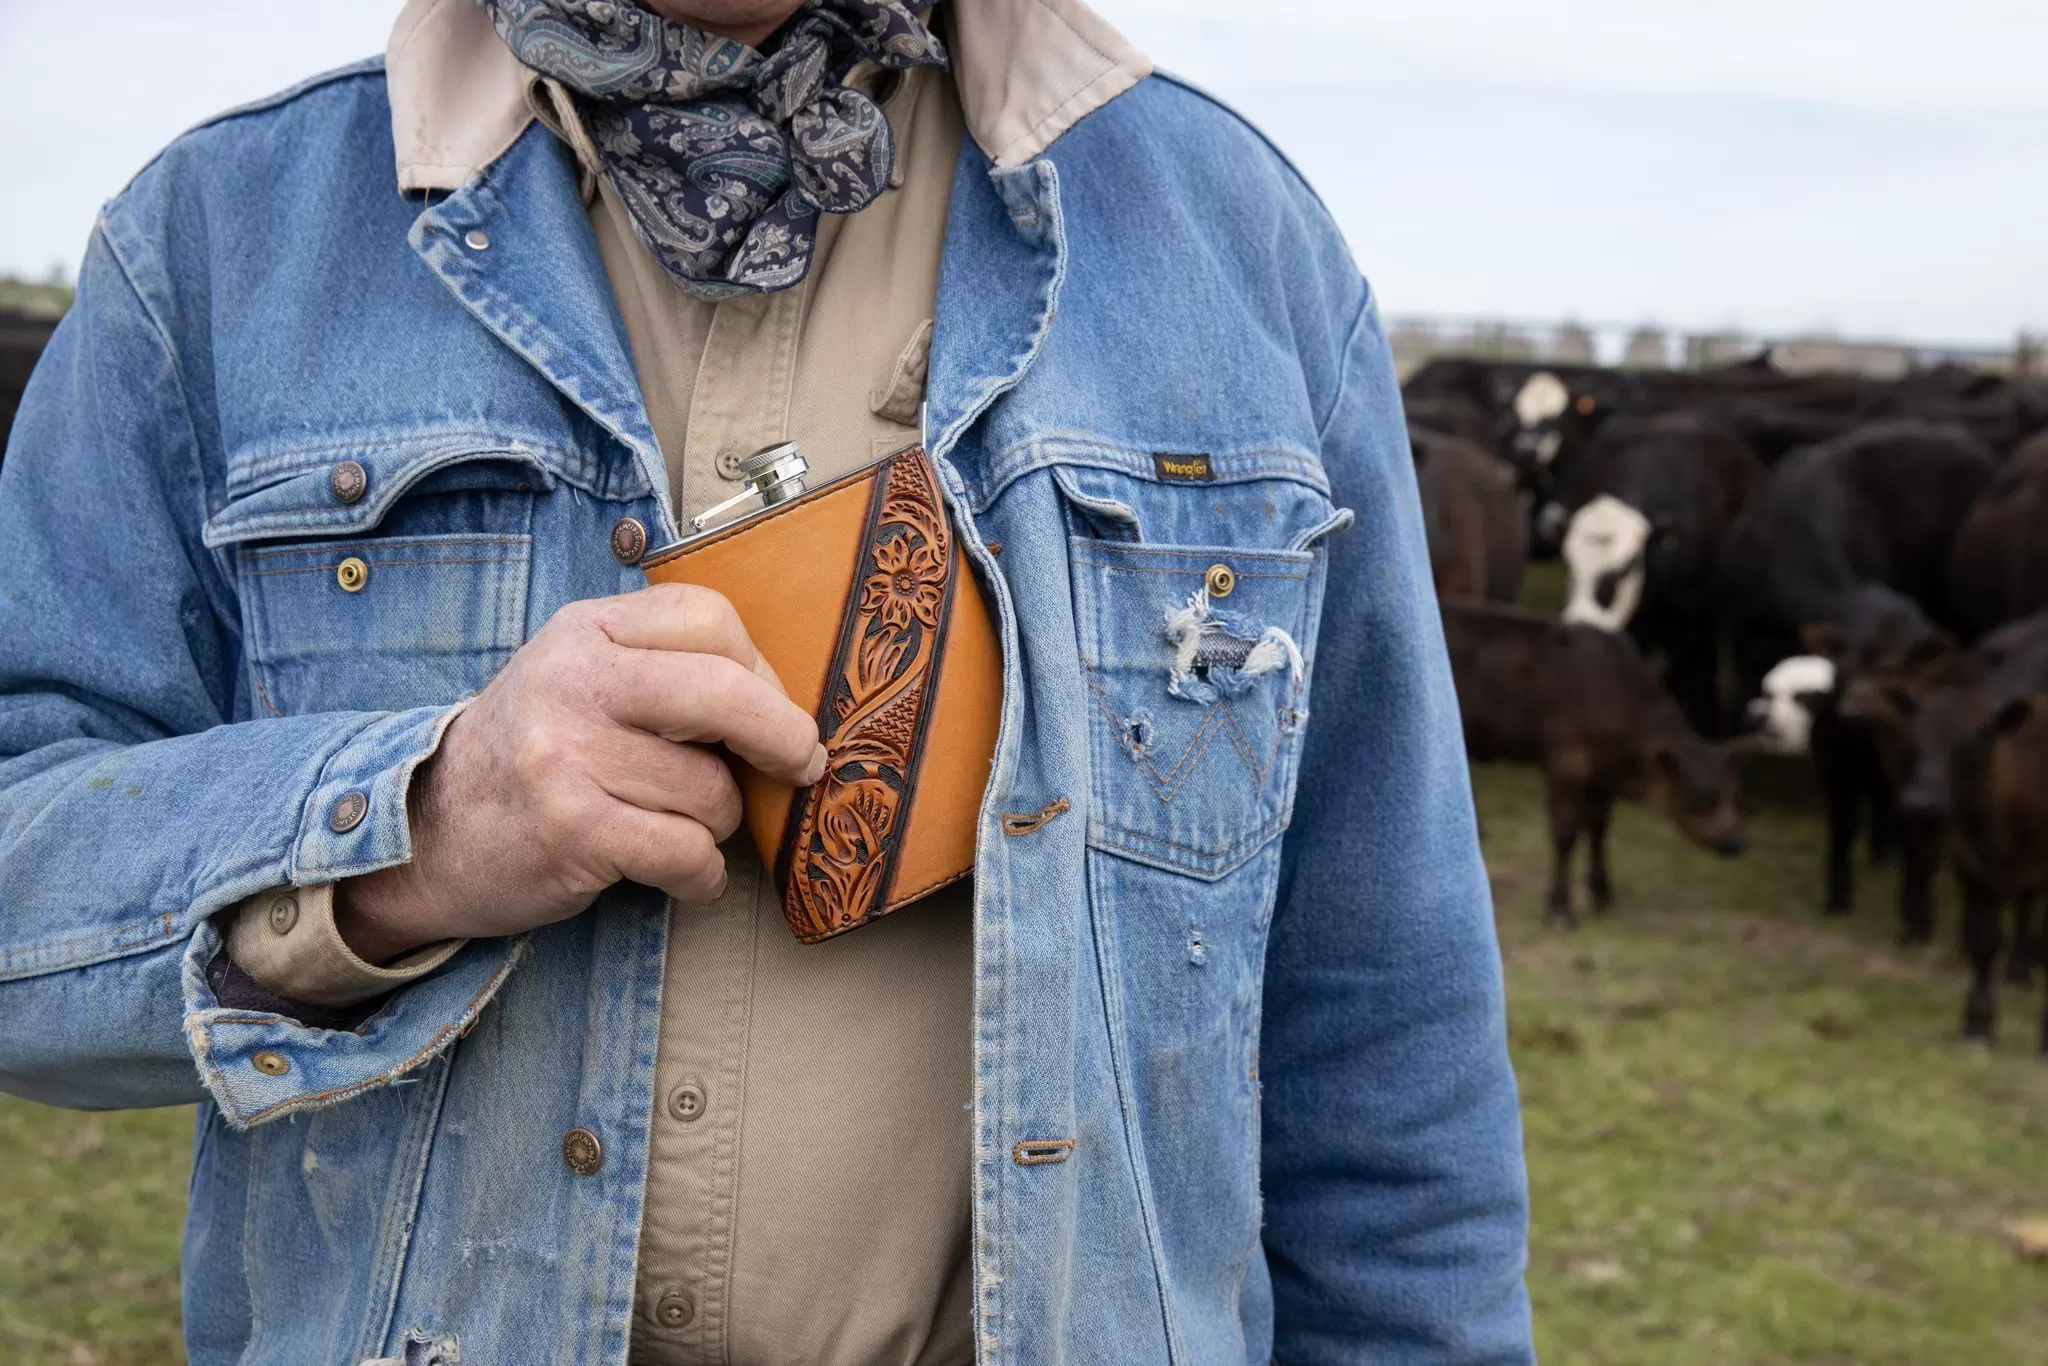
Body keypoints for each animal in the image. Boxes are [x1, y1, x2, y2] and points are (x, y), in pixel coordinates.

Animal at [1441, 602, 1744, 929]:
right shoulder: (1566, 762)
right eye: (1702, 795)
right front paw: (1560, 910)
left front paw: (1603, 897)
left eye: (1737, 794)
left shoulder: (1603, 772)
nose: (1737, 842)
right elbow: (1566, 834)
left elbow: (1598, 829)